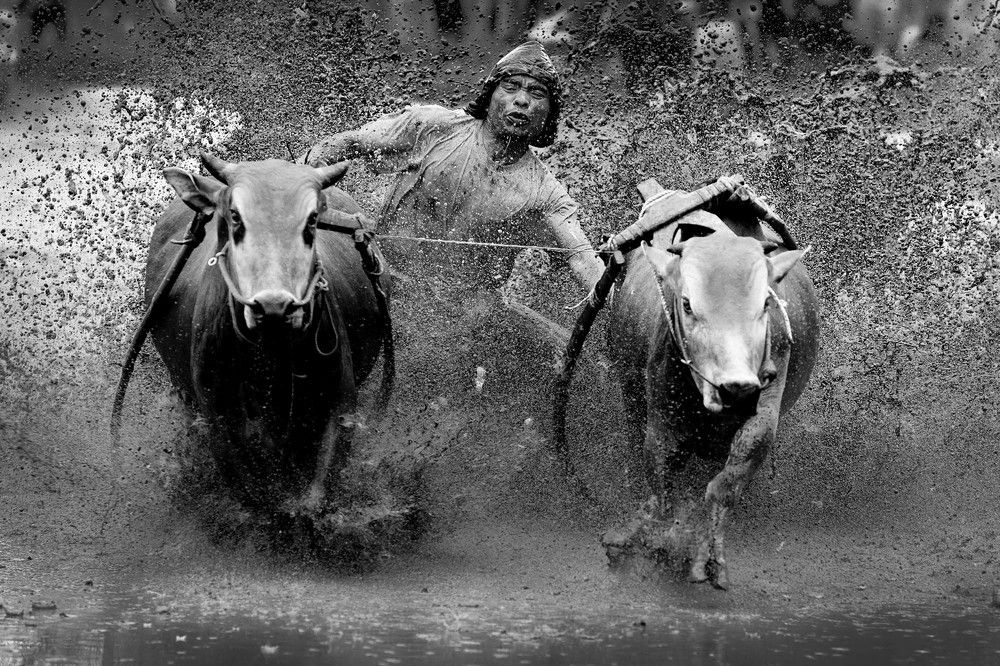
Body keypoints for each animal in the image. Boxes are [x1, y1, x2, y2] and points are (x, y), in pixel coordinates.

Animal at [145, 153, 390, 513]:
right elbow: (259, 501)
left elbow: (316, 499)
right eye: (235, 216)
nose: (274, 306)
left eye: (312, 220)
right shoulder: (219, 422)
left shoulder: (340, 408)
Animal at [604, 194, 819, 590]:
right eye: (688, 304)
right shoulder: (661, 422)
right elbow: (662, 490)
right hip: (629, 393)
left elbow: (725, 484)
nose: (735, 389)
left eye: (765, 303)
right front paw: (657, 545)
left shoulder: (764, 408)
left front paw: (708, 560)